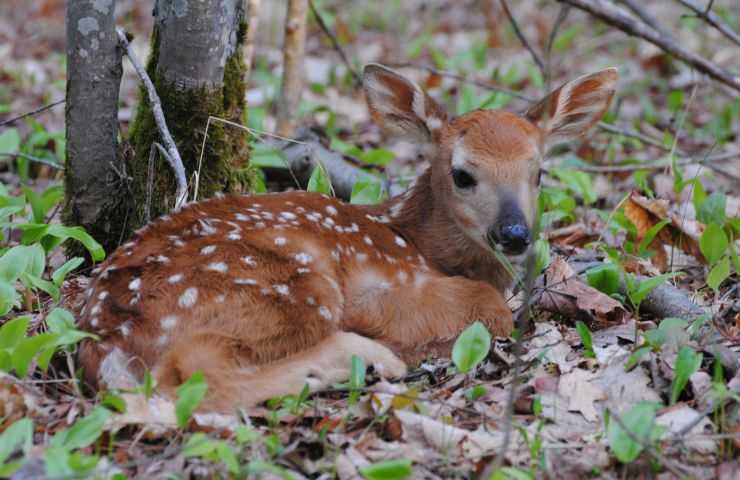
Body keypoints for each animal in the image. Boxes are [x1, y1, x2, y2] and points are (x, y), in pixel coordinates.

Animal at [77, 64, 617, 412]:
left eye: (538, 173)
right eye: (463, 175)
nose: (514, 233)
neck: (415, 241)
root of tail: (102, 341)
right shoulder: (384, 284)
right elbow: (490, 306)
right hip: (284, 284)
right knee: (197, 375)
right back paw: (365, 361)